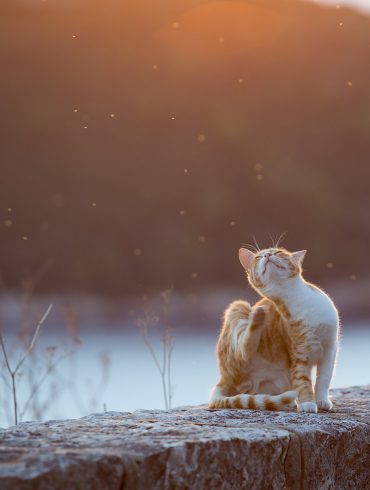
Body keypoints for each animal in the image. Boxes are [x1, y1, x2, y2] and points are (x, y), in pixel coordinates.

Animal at [208, 247, 338, 412]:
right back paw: (257, 317)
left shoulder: (330, 348)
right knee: (244, 350)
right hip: (238, 306)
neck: (298, 299)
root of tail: (223, 378)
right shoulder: (298, 354)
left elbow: (324, 378)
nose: (267, 255)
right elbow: (303, 381)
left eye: (278, 252)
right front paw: (307, 403)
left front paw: (322, 400)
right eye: (258, 257)